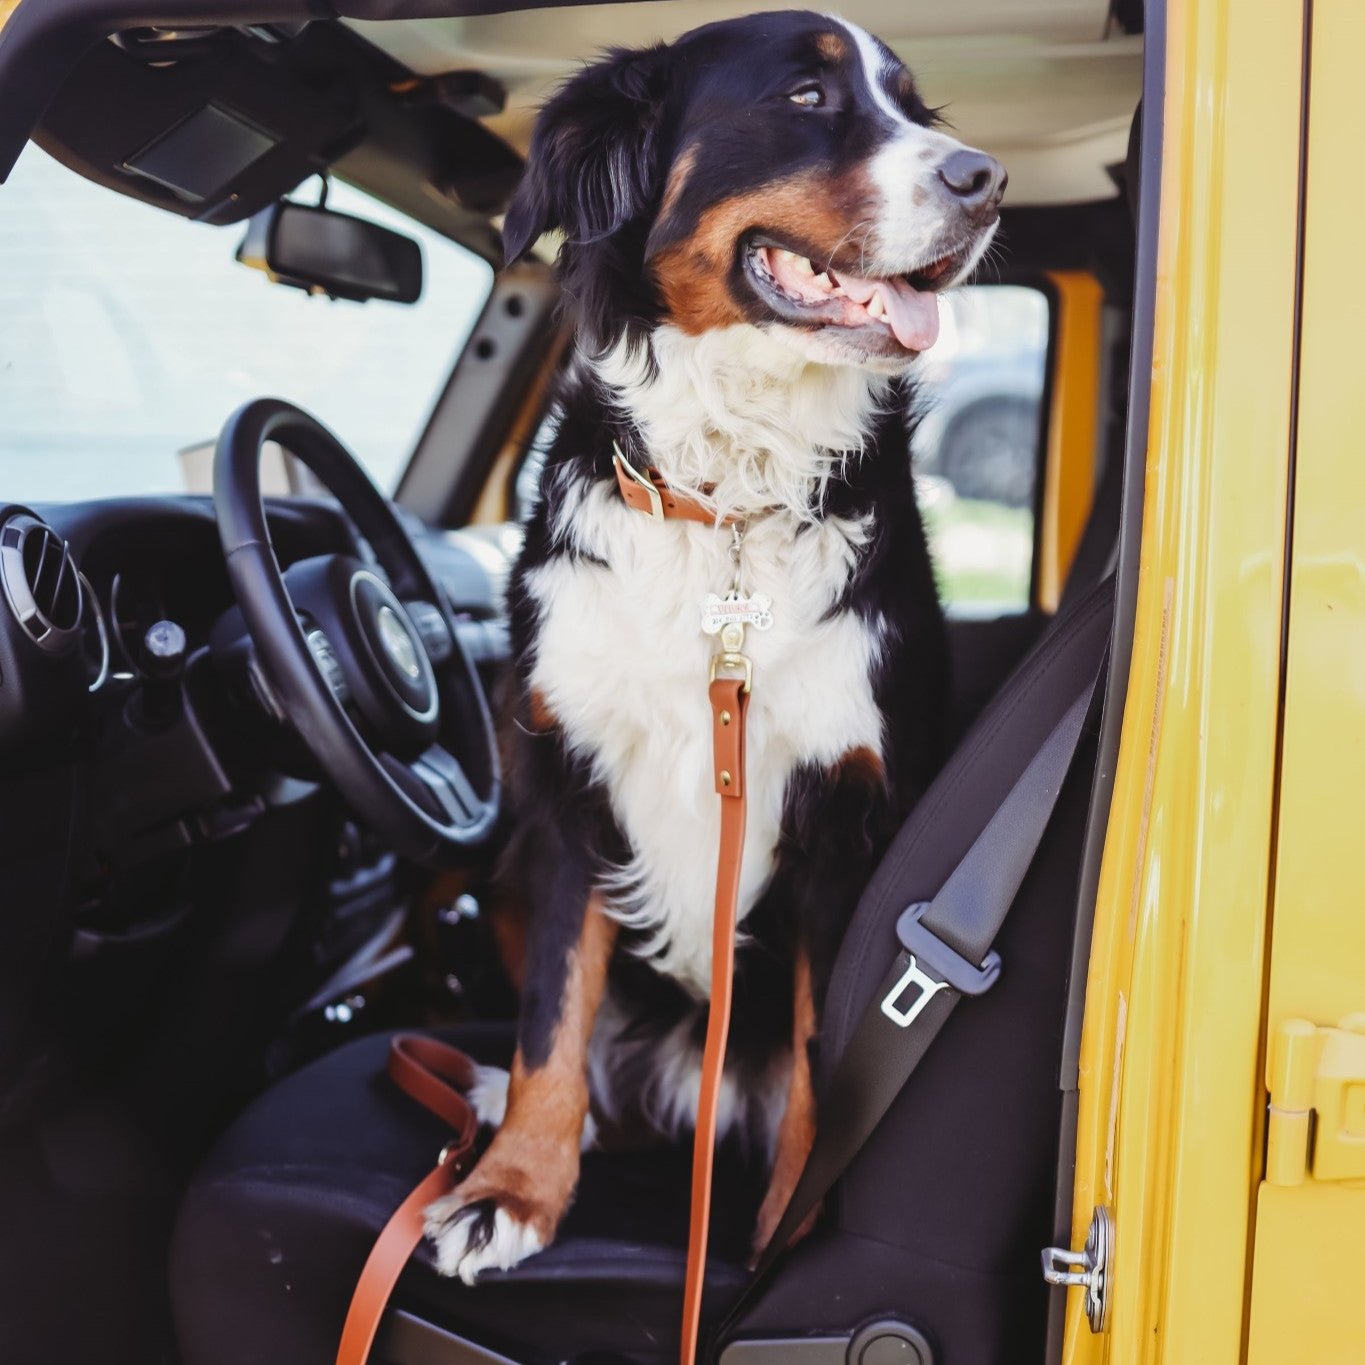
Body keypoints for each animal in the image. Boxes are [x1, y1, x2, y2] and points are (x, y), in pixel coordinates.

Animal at [420, 8, 1010, 1277]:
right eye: (805, 96)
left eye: (914, 108)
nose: (984, 181)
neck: (729, 499)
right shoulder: (569, 795)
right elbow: (552, 1018)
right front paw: (513, 1189)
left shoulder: (846, 819)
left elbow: (816, 1072)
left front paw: (782, 1239)